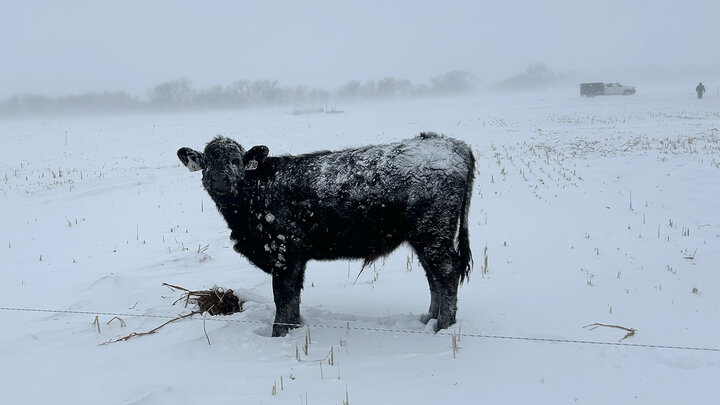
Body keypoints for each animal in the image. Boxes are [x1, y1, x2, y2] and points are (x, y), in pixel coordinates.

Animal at [178, 132, 476, 334]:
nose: (219, 180)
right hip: (424, 238)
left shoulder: (285, 255)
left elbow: (283, 299)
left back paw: (443, 326)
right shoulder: (294, 260)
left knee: (446, 273)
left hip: (432, 234)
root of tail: (453, 144)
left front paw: (280, 334)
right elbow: (293, 300)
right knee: (434, 277)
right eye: (207, 162)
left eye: (235, 160)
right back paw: (430, 319)